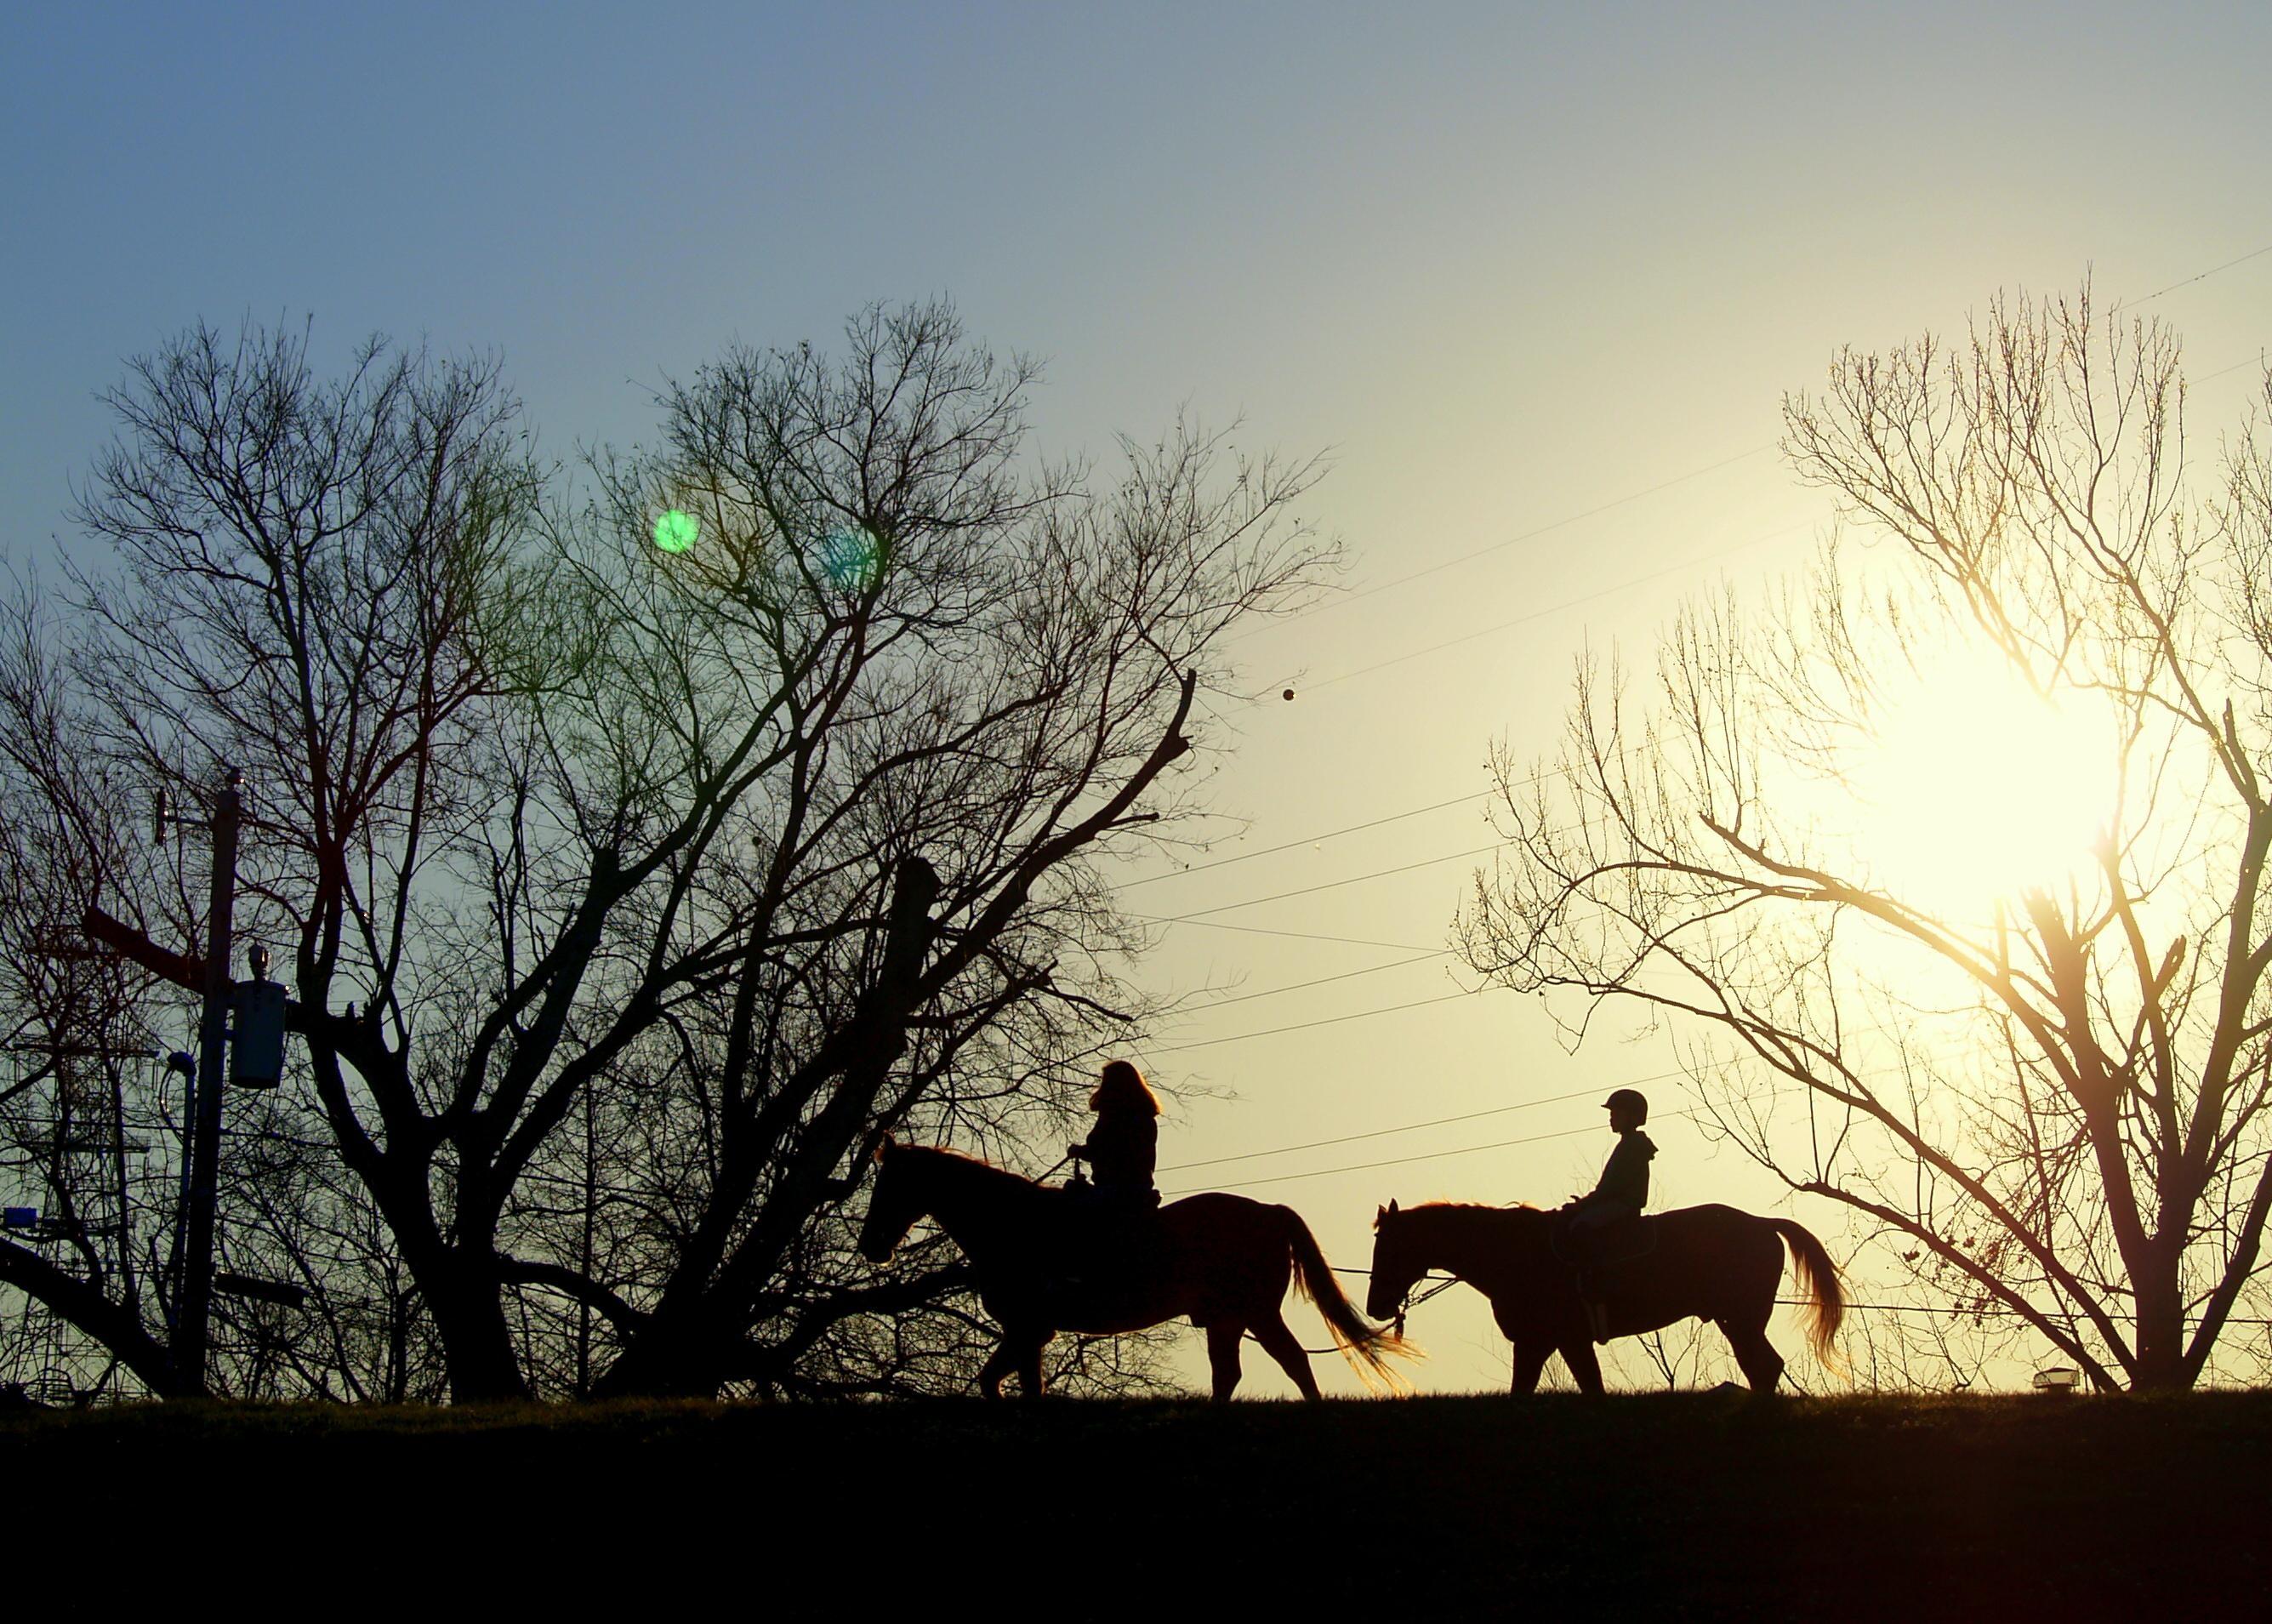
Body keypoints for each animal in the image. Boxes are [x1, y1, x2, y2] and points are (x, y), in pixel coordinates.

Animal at [854, 1144, 1399, 1399]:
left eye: (889, 1183)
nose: (870, 1245)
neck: (1014, 1225)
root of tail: (1268, 1211)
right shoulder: (1028, 1334)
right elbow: (1005, 1384)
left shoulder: (1027, 1329)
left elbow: (1014, 1387)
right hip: (1227, 1320)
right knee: (1231, 1373)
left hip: (1256, 1314)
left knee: (1293, 1363)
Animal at [1353, 1199, 1836, 1389]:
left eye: (1388, 1247)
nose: (1376, 1306)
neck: (1515, 1253)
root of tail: (1760, 1222)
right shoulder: (1541, 1344)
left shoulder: (1560, 1341)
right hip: (1737, 1321)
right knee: (1762, 1368)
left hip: (1740, 1319)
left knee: (1764, 1368)